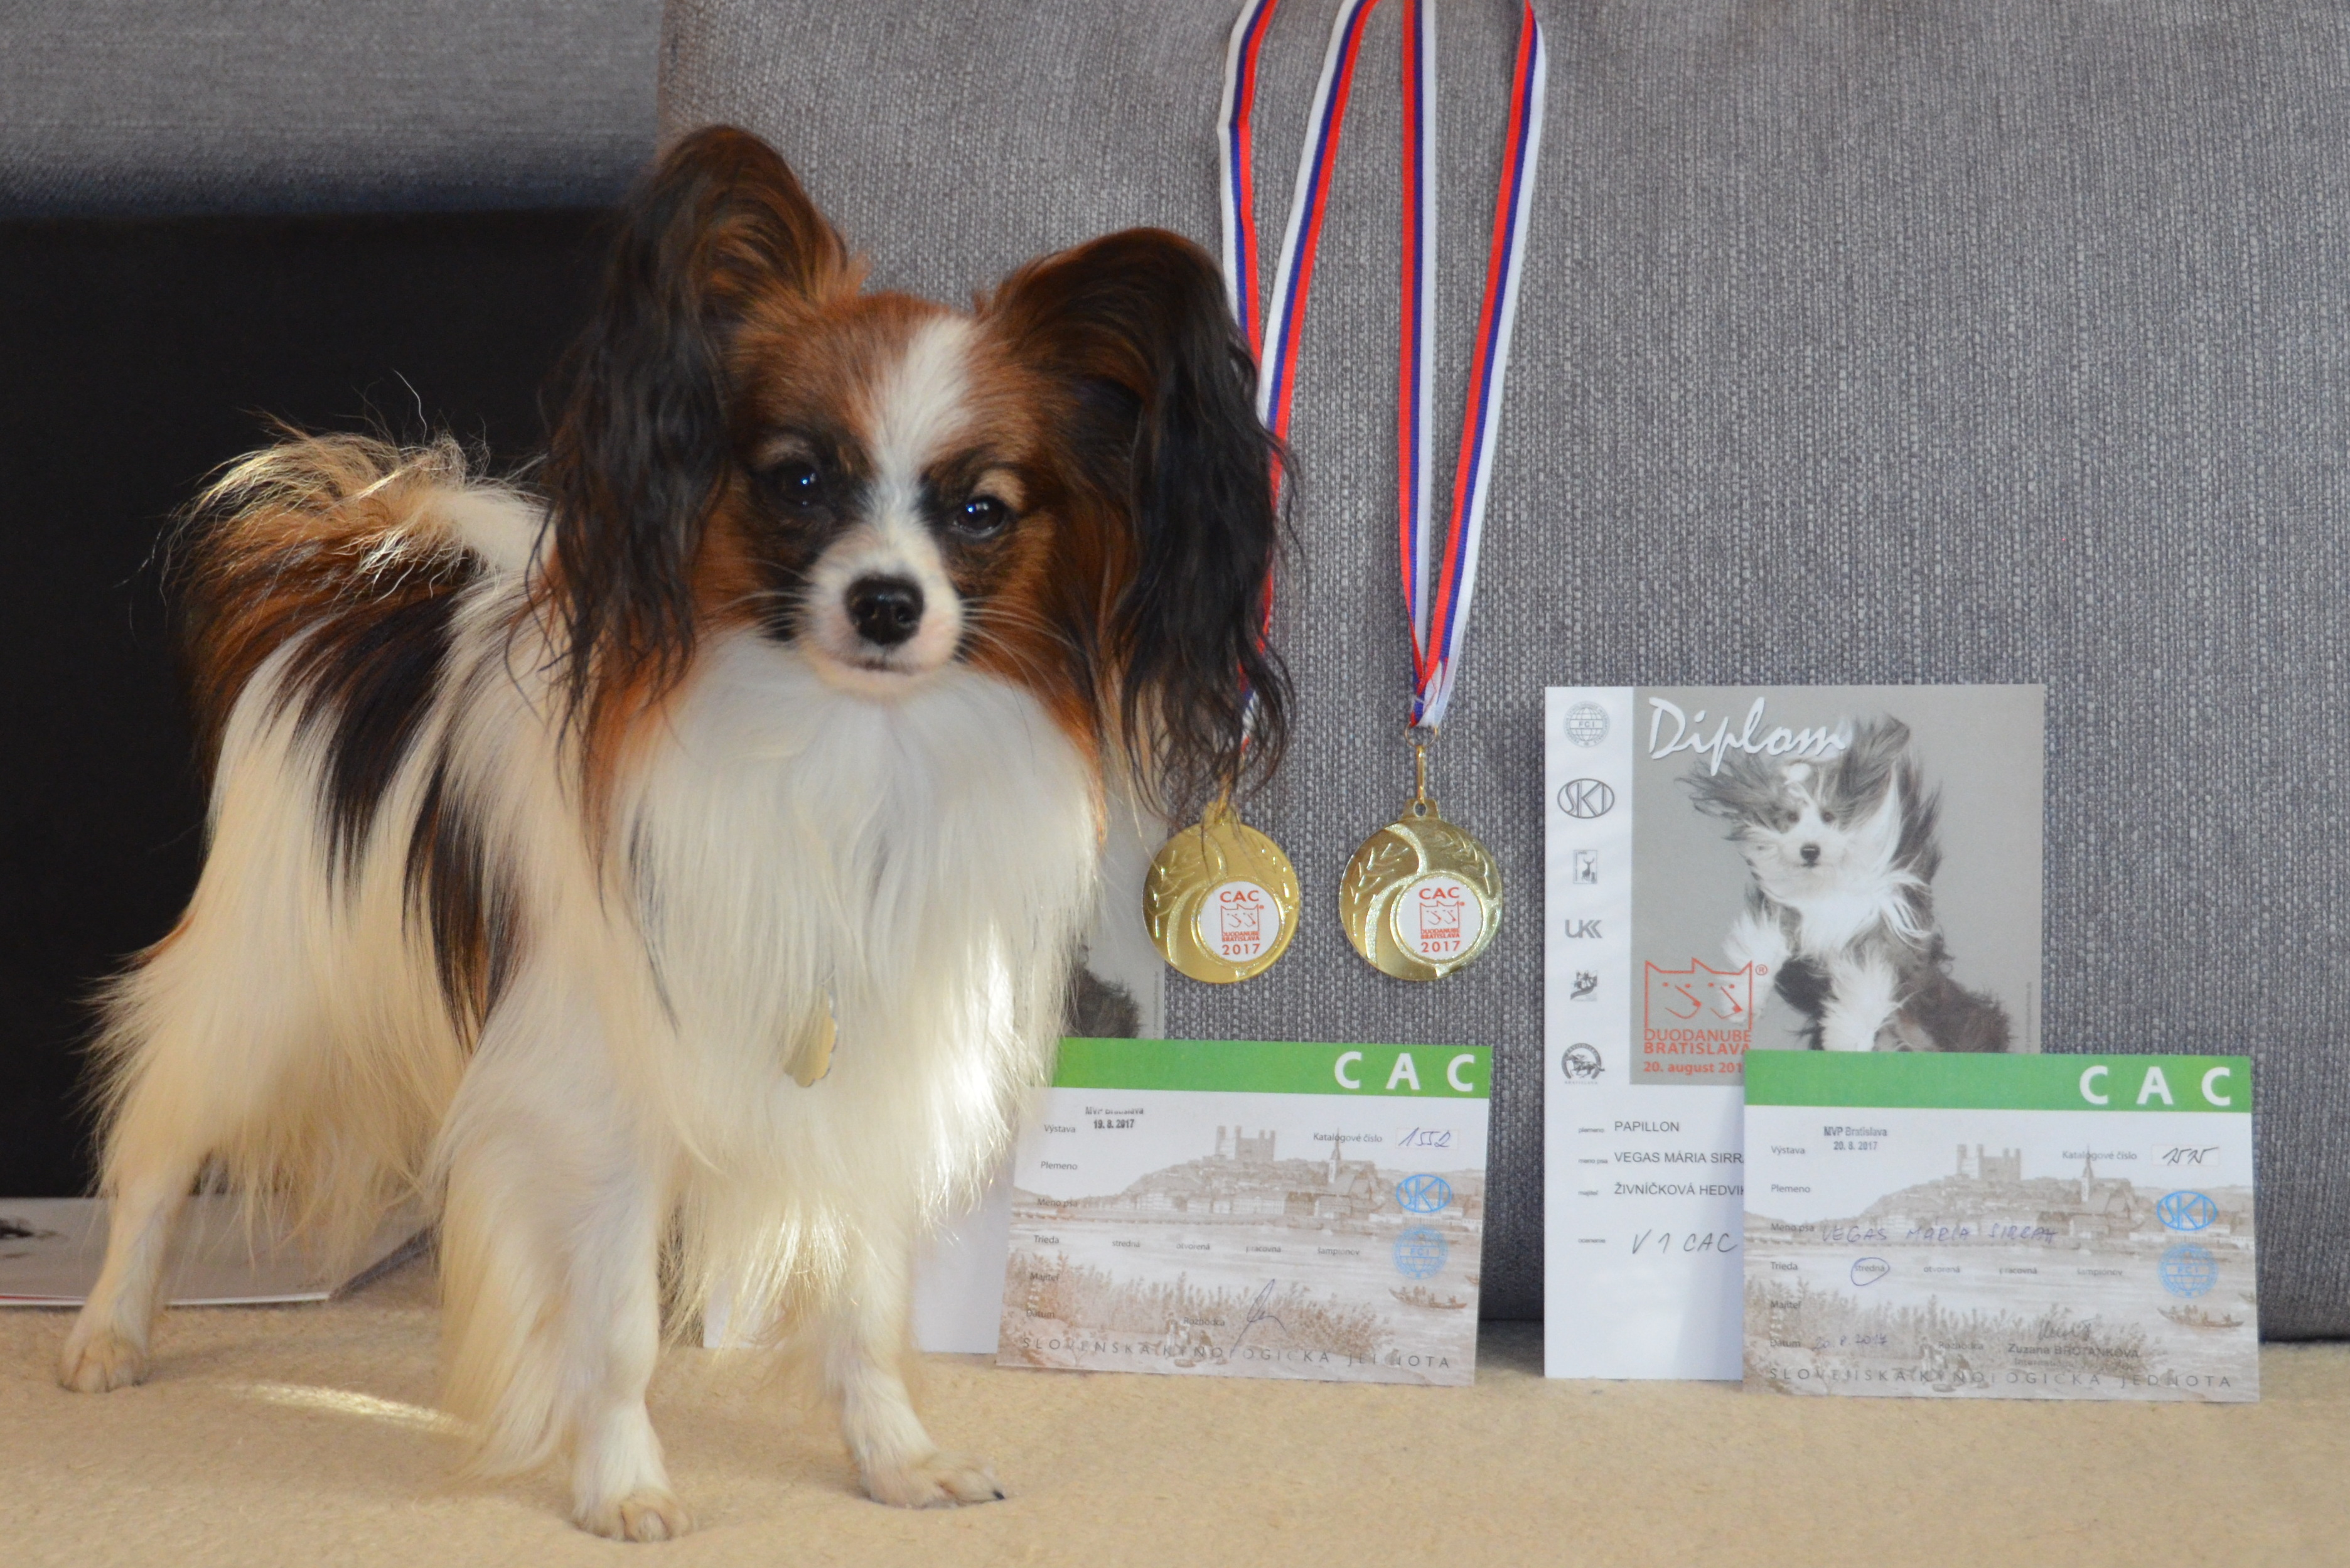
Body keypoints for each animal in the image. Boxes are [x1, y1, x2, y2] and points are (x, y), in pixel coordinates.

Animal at [56, 125, 1289, 1539]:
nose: (885, 602)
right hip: (266, 982)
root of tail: (369, 573)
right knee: (159, 1145)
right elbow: (618, 1328)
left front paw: (894, 1459)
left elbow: (865, 1308)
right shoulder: (605, 1097)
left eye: (980, 510)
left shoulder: (869, 1076)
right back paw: (109, 1332)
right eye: (798, 480)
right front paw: (622, 1482)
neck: (845, 756)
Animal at [1687, 716, 2009, 1054]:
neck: (1830, 885)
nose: (1810, 850)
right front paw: (1741, 1002)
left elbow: (1864, 986)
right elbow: (1762, 942)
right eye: (1791, 816)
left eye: (1829, 816)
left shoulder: (1879, 932)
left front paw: (1847, 1040)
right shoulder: (1790, 913)